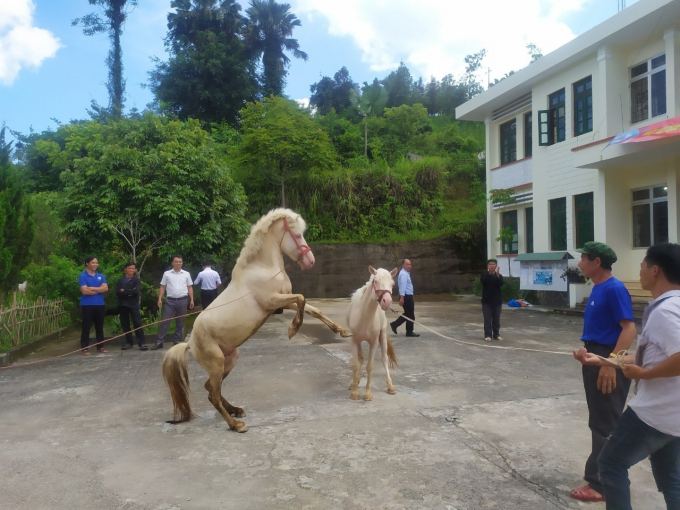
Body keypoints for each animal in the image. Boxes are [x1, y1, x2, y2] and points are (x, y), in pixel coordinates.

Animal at [346, 264, 398, 400]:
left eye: (392, 283)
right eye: (375, 281)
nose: (387, 301)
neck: (364, 317)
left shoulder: (374, 342)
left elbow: (370, 366)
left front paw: (368, 393)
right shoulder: (354, 340)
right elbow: (355, 364)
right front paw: (354, 391)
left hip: (382, 335)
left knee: (384, 359)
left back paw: (390, 386)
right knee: (360, 359)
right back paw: (355, 382)